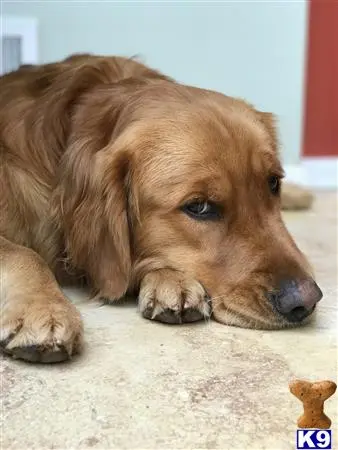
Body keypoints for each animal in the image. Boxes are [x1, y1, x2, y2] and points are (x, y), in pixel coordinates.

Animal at [0, 53, 322, 362]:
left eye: (273, 182)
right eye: (199, 207)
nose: (306, 300)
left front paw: (171, 279)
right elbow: (23, 253)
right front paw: (44, 309)